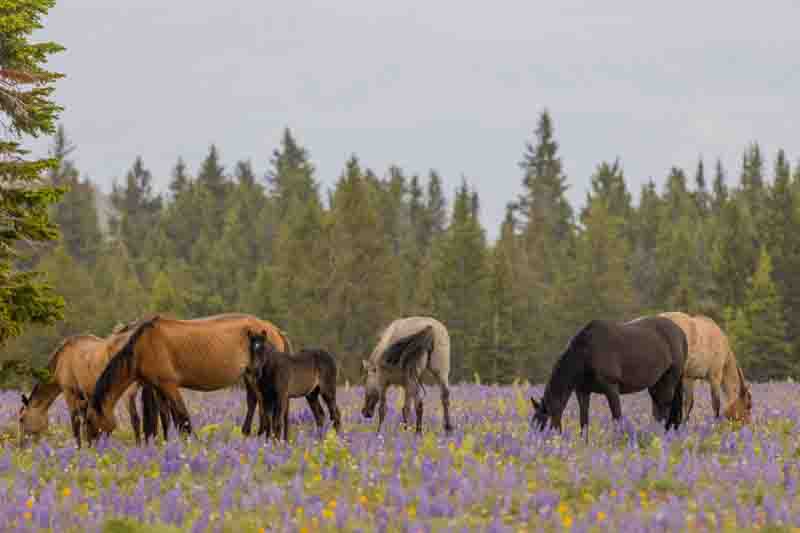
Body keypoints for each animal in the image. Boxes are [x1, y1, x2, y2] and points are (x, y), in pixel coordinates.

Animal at [18, 331, 171, 447]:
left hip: (128, 393)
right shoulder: (87, 397)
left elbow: (76, 422)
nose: (22, 446)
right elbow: (88, 422)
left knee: (136, 420)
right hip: (155, 389)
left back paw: (140, 446)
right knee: (163, 416)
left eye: (21, 419)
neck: (63, 359)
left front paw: (79, 448)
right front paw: (90, 445)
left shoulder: (70, 393)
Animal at [84, 313, 290, 443]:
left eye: (89, 421)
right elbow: (167, 419)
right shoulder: (158, 388)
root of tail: (274, 329)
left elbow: (182, 418)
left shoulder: (169, 385)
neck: (144, 346)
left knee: (266, 408)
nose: (92, 448)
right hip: (251, 378)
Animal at [530, 316, 687, 435]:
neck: (587, 351)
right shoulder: (582, 391)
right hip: (656, 385)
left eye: (542, 426)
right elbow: (584, 422)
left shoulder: (611, 389)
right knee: (658, 410)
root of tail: (680, 332)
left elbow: (617, 418)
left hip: (670, 380)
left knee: (665, 408)